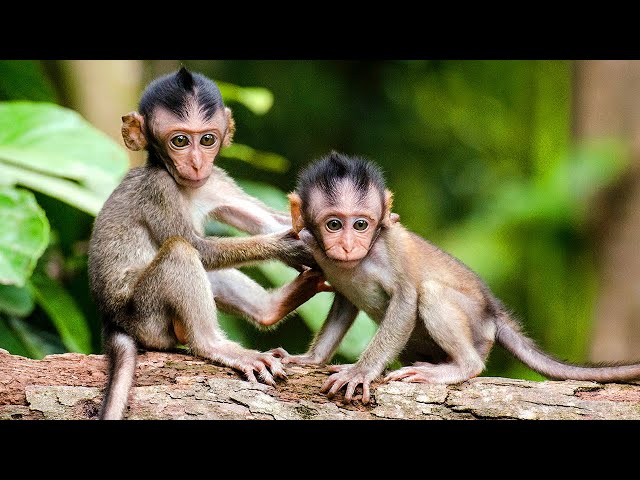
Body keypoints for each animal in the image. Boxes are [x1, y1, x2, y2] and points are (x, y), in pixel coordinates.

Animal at [88, 67, 326, 420]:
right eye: (180, 140)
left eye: (207, 139)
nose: (197, 163)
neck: (184, 185)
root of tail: (112, 321)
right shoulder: (158, 189)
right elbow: (196, 246)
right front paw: (287, 247)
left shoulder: (216, 181)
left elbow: (269, 220)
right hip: (146, 318)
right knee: (180, 252)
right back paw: (214, 345)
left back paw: (271, 308)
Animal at [270, 151, 640, 405]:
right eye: (334, 224)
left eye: (361, 224)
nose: (348, 245)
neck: (358, 261)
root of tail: (493, 313)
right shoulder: (315, 247)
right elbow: (345, 302)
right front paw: (310, 359)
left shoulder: (390, 248)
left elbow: (406, 298)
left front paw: (361, 371)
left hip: (477, 329)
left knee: (431, 293)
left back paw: (461, 366)